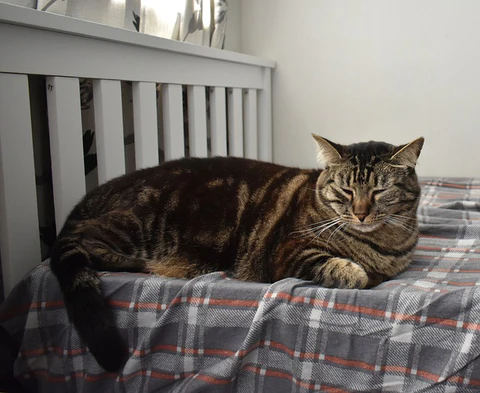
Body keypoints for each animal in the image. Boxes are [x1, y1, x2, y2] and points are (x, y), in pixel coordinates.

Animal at [49, 133, 424, 370]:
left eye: (379, 192)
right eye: (346, 191)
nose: (360, 213)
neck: (383, 241)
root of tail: (92, 195)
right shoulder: (289, 253)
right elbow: (342, 268)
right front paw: (358, 272)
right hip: (135, 226)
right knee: (82, 242)